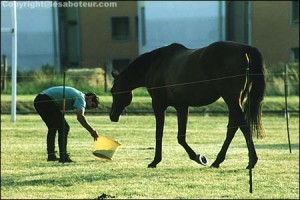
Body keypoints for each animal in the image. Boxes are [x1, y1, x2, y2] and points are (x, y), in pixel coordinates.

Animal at [109, 41, 264, 169]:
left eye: (113, 91)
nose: (112, 116)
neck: (155, 64)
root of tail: (245, 49)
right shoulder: (182, 106)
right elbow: (181, 137)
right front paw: (197, 157)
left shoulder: (158, 104)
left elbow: (159, 134)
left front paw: (155, 161)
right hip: (236, 100)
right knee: (235, 125)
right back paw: (220, 161)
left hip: (231, 99)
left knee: (241, 124)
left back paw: (249, 161)